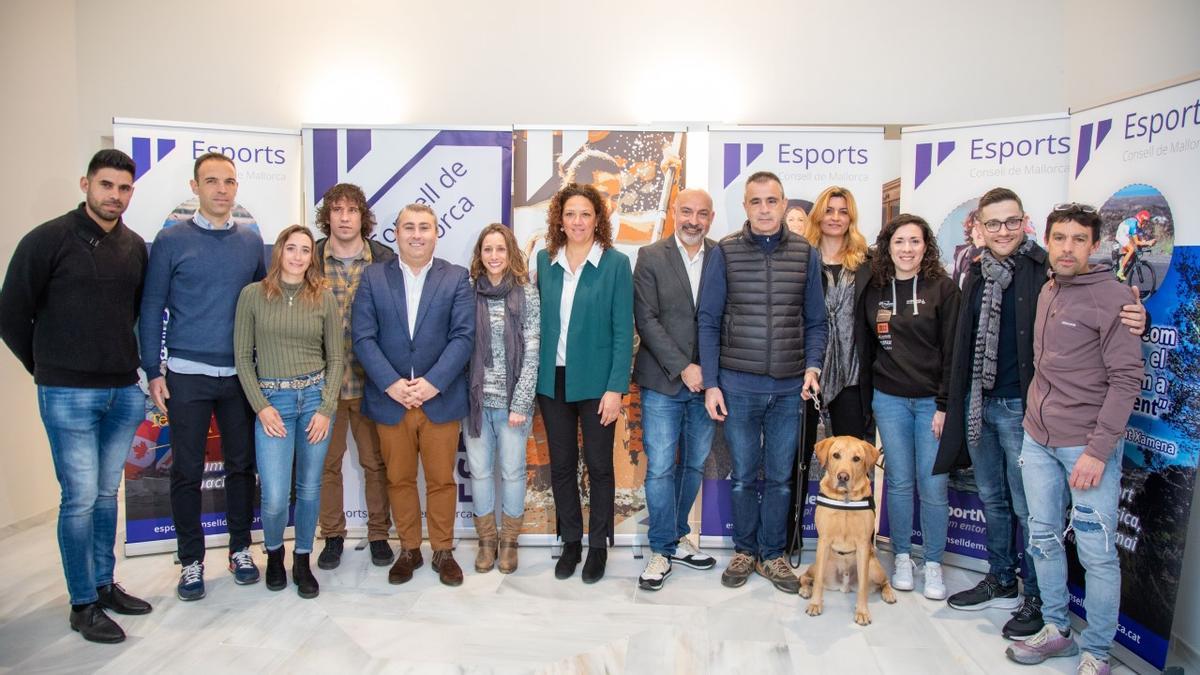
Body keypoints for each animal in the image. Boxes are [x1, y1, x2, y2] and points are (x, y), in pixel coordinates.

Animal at [801, 432, 897, 624]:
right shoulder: (823, 542)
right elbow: (817, 584)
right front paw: (815, 604)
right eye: (836, 455)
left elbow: (862, 588)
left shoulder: (862, 545)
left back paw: (889, 593)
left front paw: (862, 611)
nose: (843, 477)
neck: (845, 500)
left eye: (856, 459)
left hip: (874, 568)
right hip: (818, 564)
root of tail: (844, 586)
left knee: (883, 582)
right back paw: (805, 589)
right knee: (806, 577)